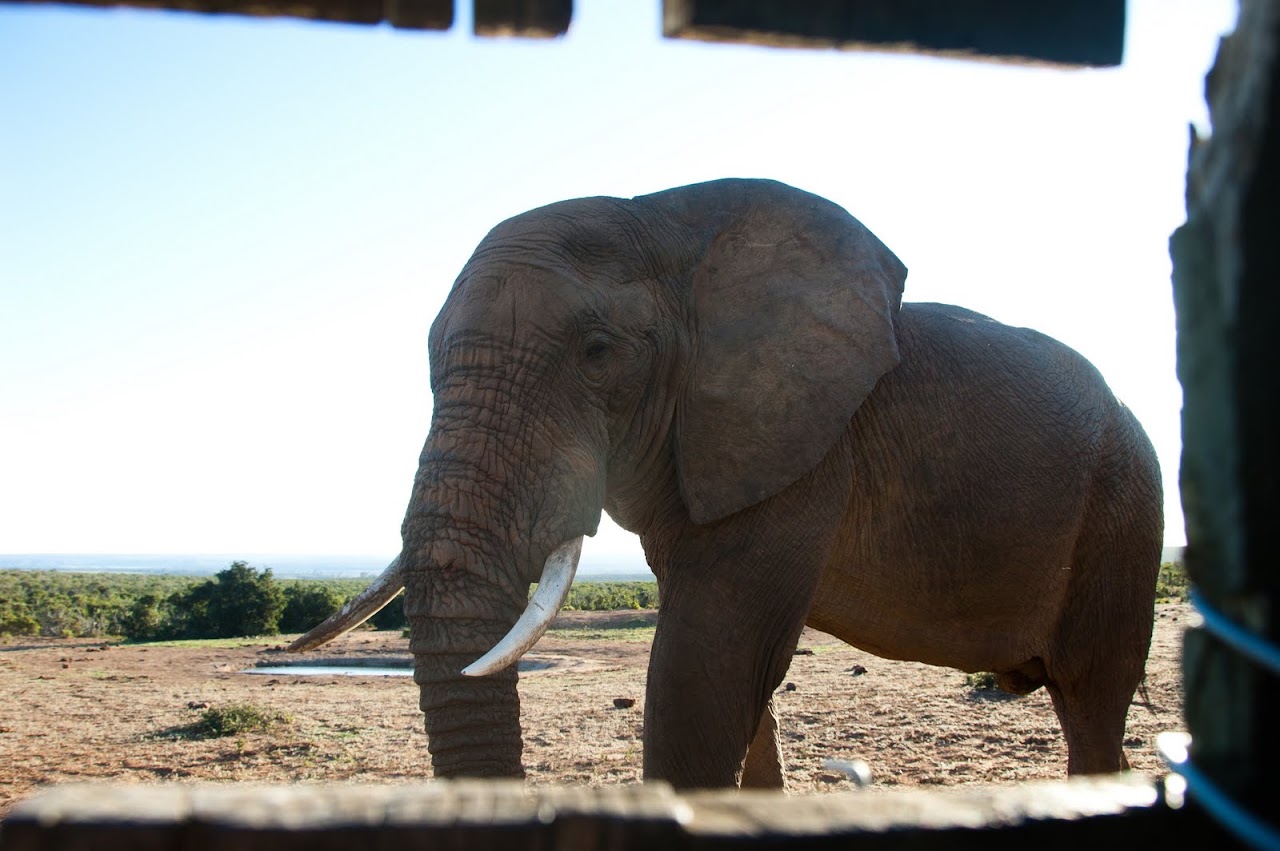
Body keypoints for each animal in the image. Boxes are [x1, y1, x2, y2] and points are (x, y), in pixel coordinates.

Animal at [292, 177, 1163, 789]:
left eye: (598, 353)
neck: (664, 222)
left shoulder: (803, 451)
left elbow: (704, 668)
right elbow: (738, 680)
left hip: (1124, 512)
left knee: (1092, 700)